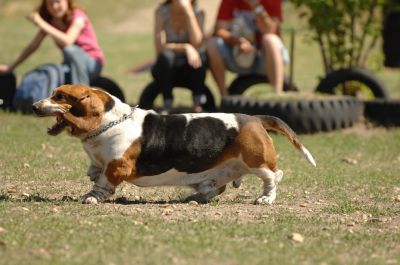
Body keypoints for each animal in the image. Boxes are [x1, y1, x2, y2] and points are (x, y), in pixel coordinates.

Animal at [32, 83, 316, 203]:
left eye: (60, 96)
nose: (34, 106)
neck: (110, 122)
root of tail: (254, 118)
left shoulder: (117, 167)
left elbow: (103, 183)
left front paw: (92, 197)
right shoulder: (99, 160)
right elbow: (94, 170)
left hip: (257, 161)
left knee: (274, 176)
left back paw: (266, 198)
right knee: (218, 187)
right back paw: (196, 195)